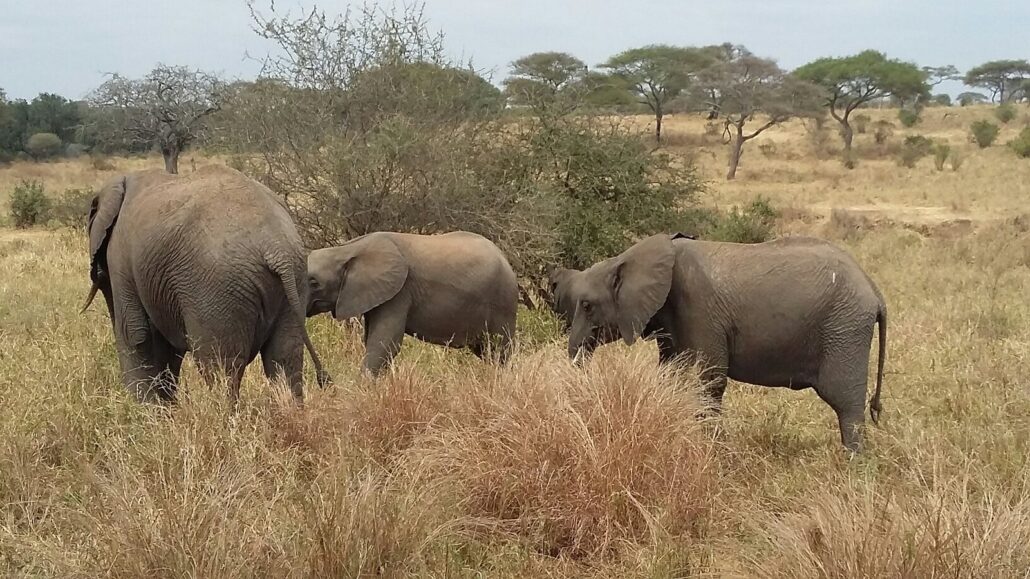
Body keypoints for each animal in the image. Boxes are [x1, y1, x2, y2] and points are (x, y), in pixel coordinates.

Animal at [82, 164, 327, 403]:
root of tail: (275, 247)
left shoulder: (120, 260)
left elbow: (135, 334)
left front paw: (144, 412)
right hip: (293, 280)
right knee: (284, 359)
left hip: (217, 291)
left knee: (221, 367)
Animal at [302, 229, 515, 375]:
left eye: (314, 283)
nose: (326, 381)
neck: (346, 248)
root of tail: (505, 259)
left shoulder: (400, 292)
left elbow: (385, 342)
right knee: (486, 352)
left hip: (502, 303)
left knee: (499, 351)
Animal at [560, 231, 889, 449]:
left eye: (587, 306)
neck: (631, 257)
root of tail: (874, 291)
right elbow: (670, 374)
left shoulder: (699, 309)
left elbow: (711, 379)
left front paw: (712, 449)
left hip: (844, 329)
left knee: (845, 402)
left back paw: (852, 464)